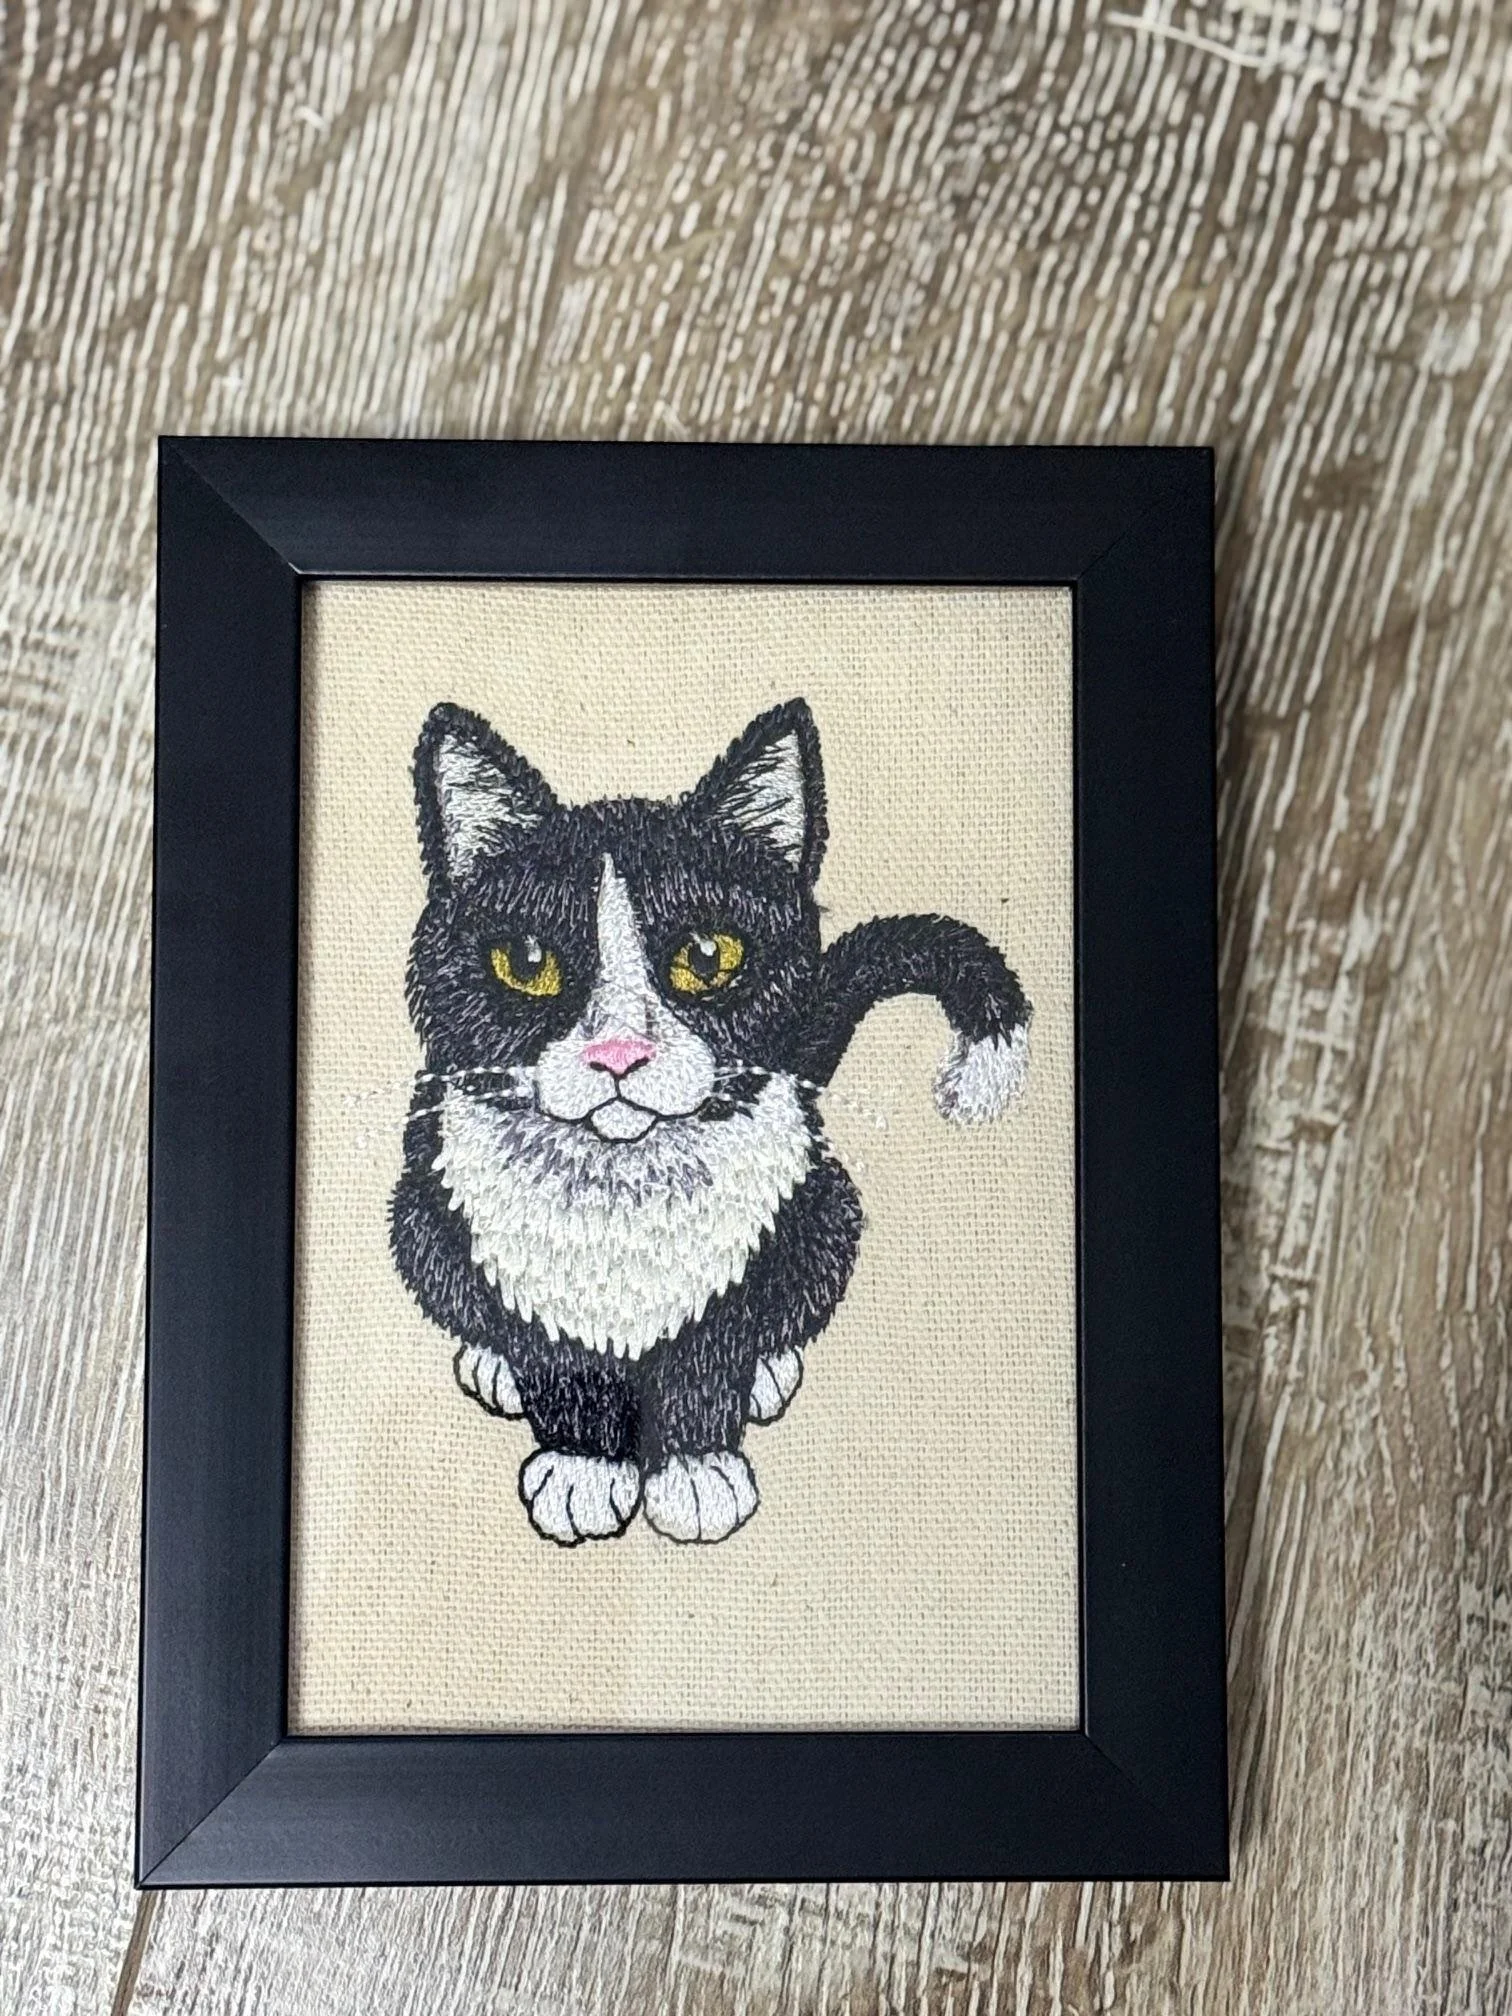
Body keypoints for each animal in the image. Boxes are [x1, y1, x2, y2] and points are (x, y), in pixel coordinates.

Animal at [390, 698, 1030, 1546]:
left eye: (707, 954)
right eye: (527, 962)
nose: (618, 1053)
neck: (623, 1197)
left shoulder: (748, 1246)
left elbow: (710, 1354)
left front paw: (695, 1471)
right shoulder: (508, 1249)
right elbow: (558, 1361)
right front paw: (583, 1467)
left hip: (829, 1210)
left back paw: (769, 1371)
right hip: (418, 1215)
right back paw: (490, 1362)